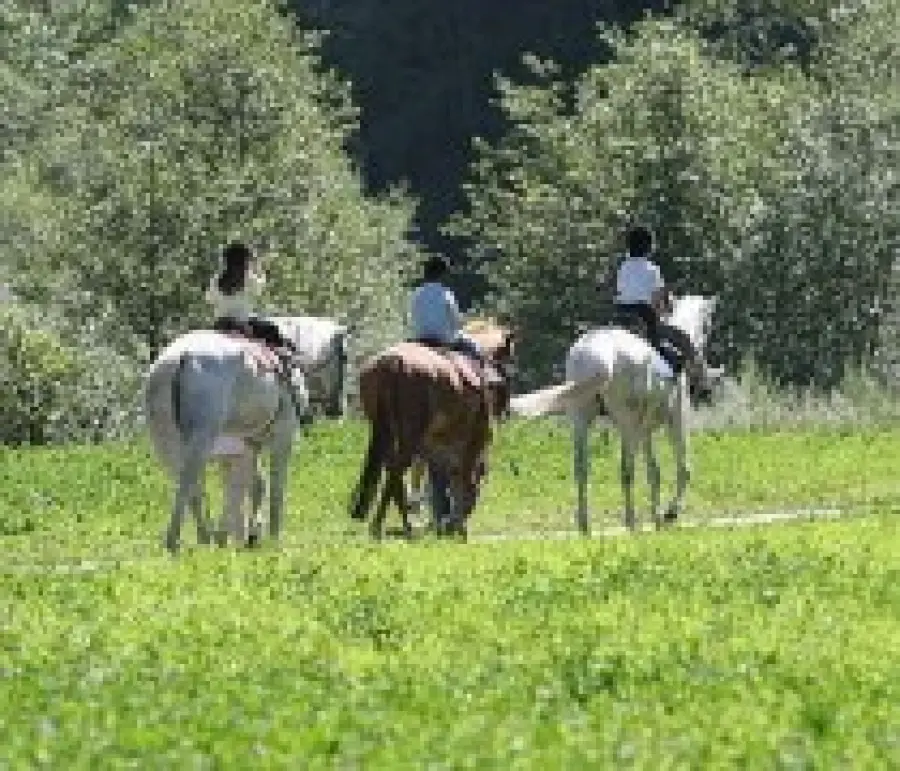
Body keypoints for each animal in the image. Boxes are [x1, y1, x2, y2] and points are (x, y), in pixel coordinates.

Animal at [349, 319, 516, 540]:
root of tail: (392, 363)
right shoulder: (473, 443)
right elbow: (463, 479)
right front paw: (458, 526)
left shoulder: (437, 447)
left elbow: (444, 480)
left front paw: (446, 523)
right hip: (409, 438)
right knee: (397, 471)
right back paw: (383, 524)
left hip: (389, 434)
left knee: (394, 471)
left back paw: (406, 525)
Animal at [509, 295, 722, 535]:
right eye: (708, 325)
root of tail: (596, 357)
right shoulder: (676, 419)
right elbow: (683, 468)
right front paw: (668, 515)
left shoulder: (644, 430)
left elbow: (654, 472)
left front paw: (656, 519)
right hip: (627, 423)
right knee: (626, 471)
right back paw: (631, 523)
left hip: (581, 418)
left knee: (581, 468)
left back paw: (585, 526)